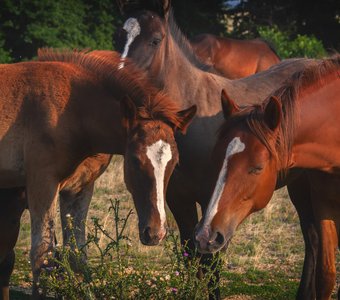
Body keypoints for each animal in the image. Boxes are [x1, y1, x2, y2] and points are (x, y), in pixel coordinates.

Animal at [0, 49, 195, 296]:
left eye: (175, 163)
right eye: (134, 160)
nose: (155, 233)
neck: (71, 112)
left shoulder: (78, 188)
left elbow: (77, 254)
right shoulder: (42, 183)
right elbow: (42, 256)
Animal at [115, 0, 322, 298]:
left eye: (156, 40)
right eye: (118, 36)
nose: (120, 80)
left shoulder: (214, 201)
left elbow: (212, 262)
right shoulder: (179, 199)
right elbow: (191, 256)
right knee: (313, 235)